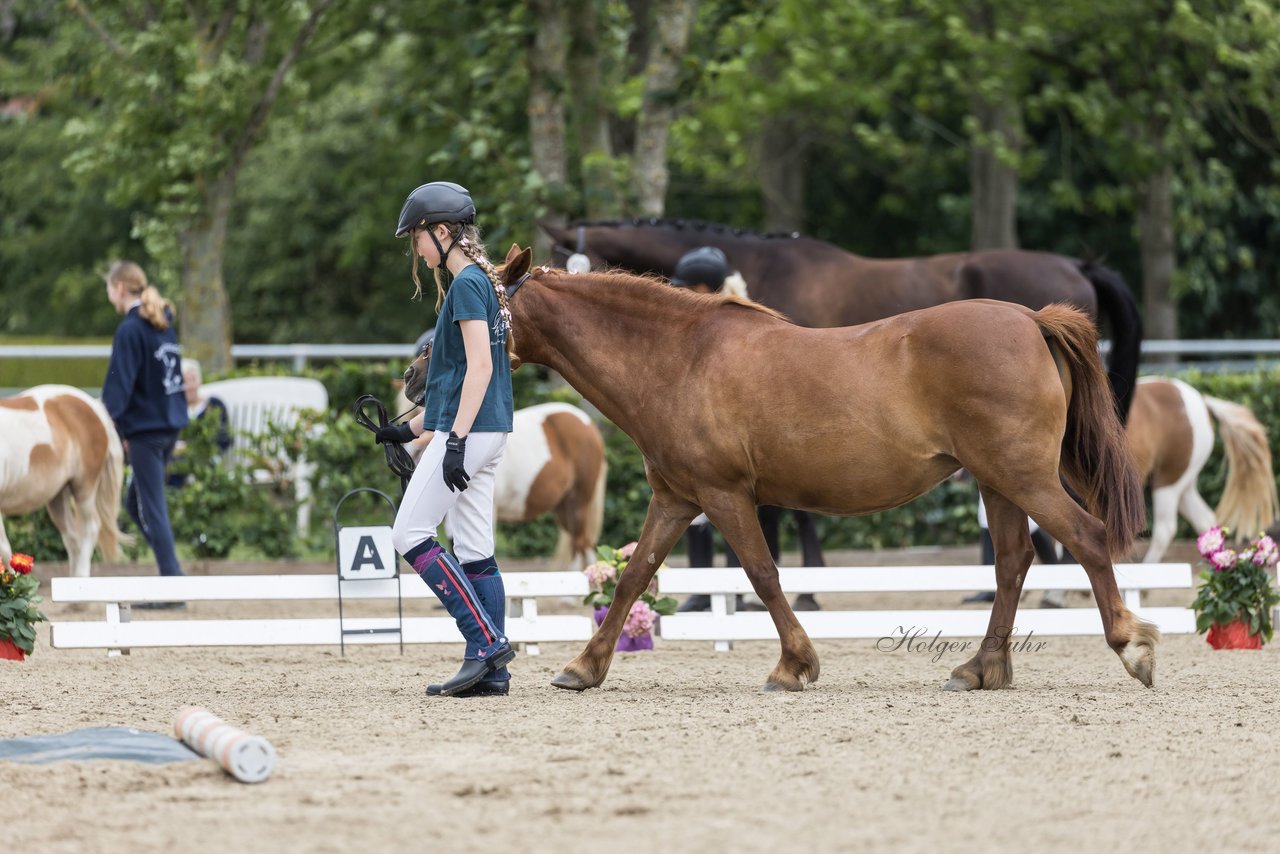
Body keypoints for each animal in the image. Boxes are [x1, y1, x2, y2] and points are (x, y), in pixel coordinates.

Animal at [0, 386, 129, 573]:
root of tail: (93, 405)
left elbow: (4, 550)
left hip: (85, 489)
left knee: (89, 531)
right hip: (58, 496)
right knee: (73, 540)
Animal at [496, 241, 1152, 696]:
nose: (447, 374)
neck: (680, 358)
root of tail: (1030, 319)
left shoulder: (723, 494)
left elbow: (762, 574)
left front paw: (793, 666)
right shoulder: (677, 498)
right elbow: (634, 577)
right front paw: (583, 667)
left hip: (1025, 477)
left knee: (1087, 538)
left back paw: (1131, 647)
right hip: (999, 482)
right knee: (1014, 561)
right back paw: (980, 669)